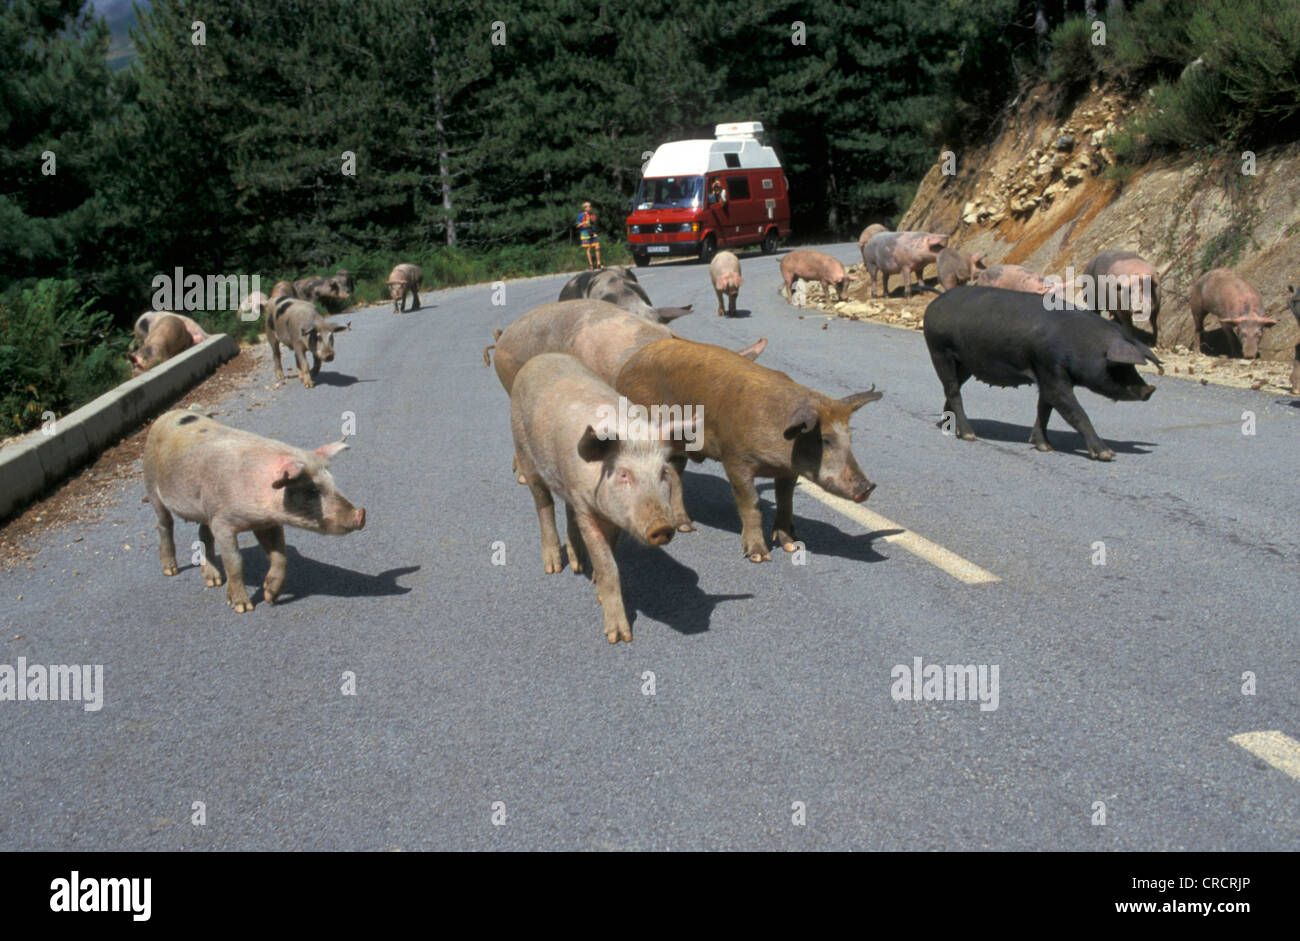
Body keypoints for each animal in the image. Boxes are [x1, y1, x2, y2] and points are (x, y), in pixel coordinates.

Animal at [143, 408, 366, 613]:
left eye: (332, 482)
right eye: (311, 490)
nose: (361, 515)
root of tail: (169, 414)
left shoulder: (267, 523)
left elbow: (280, 556)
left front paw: (270, 596)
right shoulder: (222, 522)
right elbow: (234, 562)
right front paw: (243, 607)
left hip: (204, 510)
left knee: (203, 532)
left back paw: (214, 581)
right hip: (152, 484)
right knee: (164, 523)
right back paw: (171, 570)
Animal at [509, 348, 691, 642]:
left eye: (663, 472)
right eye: (623, 474)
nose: (662, 526)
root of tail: (541, 357)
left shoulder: (608, 513)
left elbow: (610, 553)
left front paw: (594, 582)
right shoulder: (587, 508)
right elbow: (608, 565)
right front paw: (619, 638)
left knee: (566, 509)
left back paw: (577, 565)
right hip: (524, 448)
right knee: (543, 503)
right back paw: (553, 567)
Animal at [611, 335, 878, 558]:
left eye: (849, 438)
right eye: (825, 439)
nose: (868, 486)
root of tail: (627, 365)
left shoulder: (788, 471)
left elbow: (786, 502)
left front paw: (792, 547)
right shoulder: (735, 458)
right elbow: (751, 503)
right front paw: (759, 556)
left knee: (676, 473)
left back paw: (687, 526)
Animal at [920, 287, 1164, 462]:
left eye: (1132, 367)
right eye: (1119, 367)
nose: (1150, 389)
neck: (1081, 345)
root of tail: (935, 303)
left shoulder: (1045, 374)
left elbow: (1045, 409)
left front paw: (1045, 447)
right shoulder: (1049, 367)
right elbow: (1075, 411)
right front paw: (1107, 454)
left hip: (965, 364)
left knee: (952, 389)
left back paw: (949, 426)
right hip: (939, 349)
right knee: (952, 389)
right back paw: (969, 435)